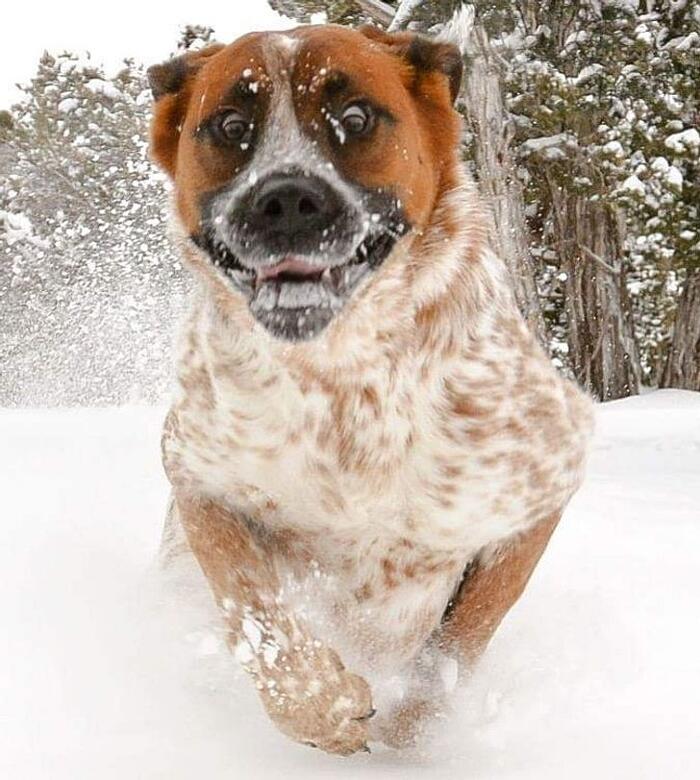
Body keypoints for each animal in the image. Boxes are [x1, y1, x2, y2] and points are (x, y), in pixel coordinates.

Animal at [148, 24, 592, 756]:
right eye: (232, 125)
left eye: (355, 118)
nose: (285, 199)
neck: (341, 381)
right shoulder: (199, 477)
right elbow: (251, 603)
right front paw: (321, 708)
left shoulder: (543, 488)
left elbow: (457, 646)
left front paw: (409, 739)